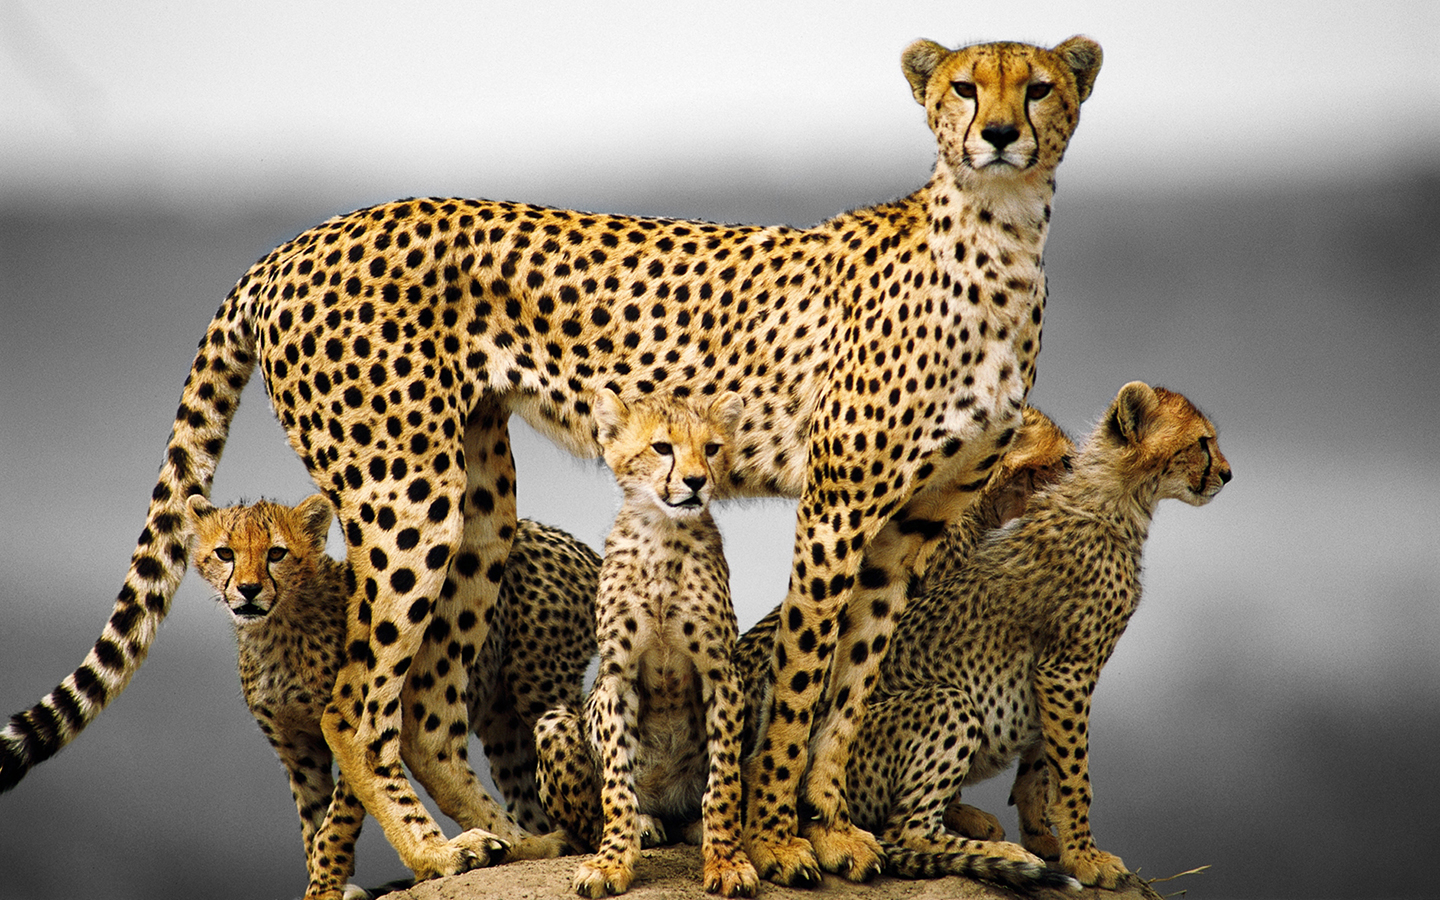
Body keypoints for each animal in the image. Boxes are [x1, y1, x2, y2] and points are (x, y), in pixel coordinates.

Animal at [185, 493, 599, 899]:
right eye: (225, 553)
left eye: (276, 553)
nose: (249, 589)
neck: (275, 626)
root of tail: (562, 537)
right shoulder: (296, 750)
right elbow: (312, 822)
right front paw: (326, 882)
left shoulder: (352, 722)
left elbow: (337, 820)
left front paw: (327, 883)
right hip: (502, 723)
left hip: (537, 684)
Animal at [535, 389, 758, 898]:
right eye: (661, 448)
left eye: (712, 448)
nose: (696, 481)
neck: (663, 534)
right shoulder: (617, 678)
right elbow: (616, 785)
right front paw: (612, 862)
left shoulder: (722, 671)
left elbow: (723, 781)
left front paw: (726, 859)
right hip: (554, 722)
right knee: (586, 820)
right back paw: (644, 824)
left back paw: (690, 825)